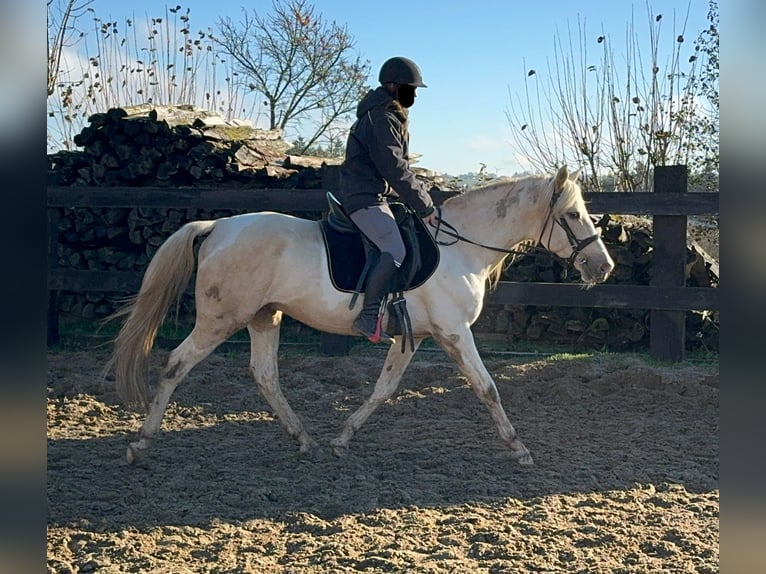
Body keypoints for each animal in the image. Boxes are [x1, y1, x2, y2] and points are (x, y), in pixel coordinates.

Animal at [108, 166, 616, 468]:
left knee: (265, 375)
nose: (604, 267)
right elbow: (487, 387)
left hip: (264, 317)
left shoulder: (414, 337)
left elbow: (383, 389)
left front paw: (342, 438)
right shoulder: (454, 333)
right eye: (573, 214)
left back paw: (305, 439)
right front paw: (520, 448)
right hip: (220, 319)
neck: (461, 248)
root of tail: (217, 227)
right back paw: (140, 442)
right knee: (176, 364)